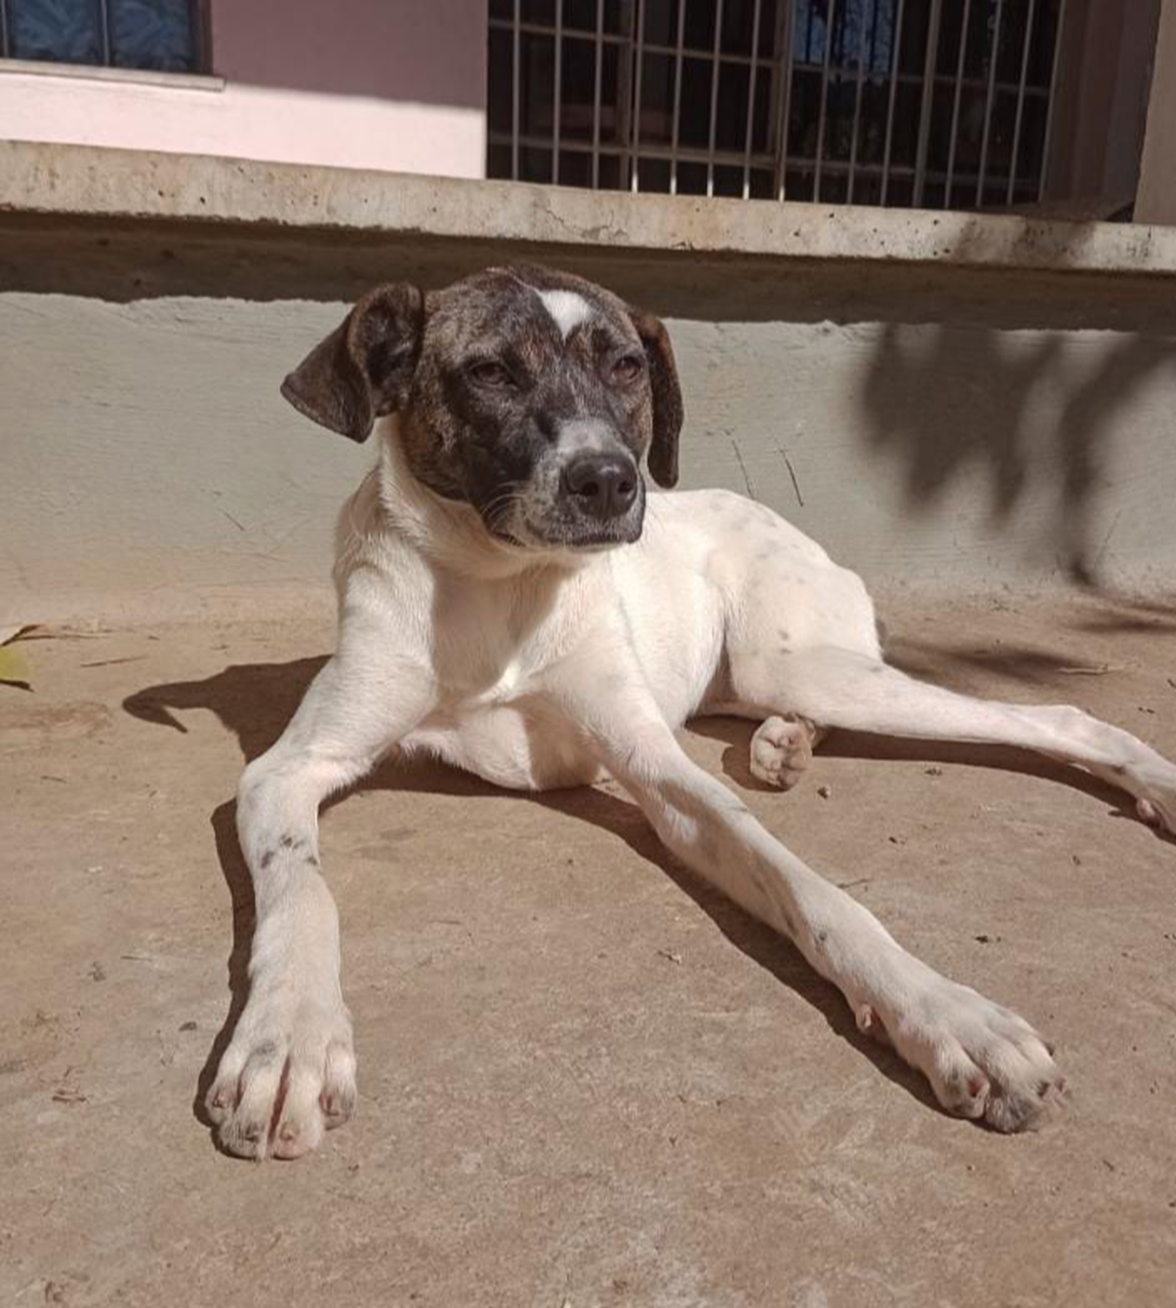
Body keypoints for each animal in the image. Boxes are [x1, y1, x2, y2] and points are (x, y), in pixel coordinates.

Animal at [206, 265, 1176, 1159]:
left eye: (628, 365)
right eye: (489, 372)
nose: (609, 482)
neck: (498, 588)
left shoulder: (656, 762)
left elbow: (811, 889)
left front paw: (947, 1014)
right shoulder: (286, 769)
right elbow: (304, 890)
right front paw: (290, 1037)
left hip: (809, 665)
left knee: (1062, 715)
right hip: (775, 677)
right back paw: (787, 744)